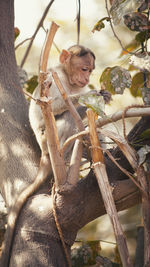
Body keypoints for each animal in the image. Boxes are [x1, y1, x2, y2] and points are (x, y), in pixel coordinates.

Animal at [0, 45, 96, 266]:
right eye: (84, 69)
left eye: (90, 70)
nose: (87, 79)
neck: (68, 78)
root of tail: (45, 153)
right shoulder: (53, 77)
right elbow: (53, 104)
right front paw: (92, 95)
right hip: (47, 138)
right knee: (67, 116)